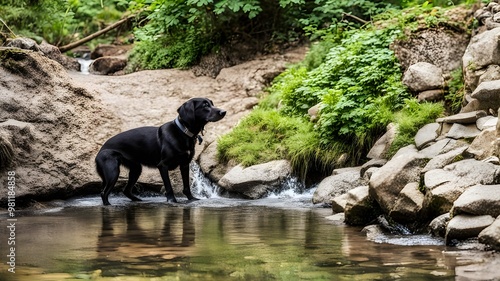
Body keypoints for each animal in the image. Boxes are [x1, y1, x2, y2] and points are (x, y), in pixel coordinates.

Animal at [94, 97, 227, 205]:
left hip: (136, 169)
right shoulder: (163, 166)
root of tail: (101, 150)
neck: (183, 131)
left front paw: (192, 199)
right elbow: (169, 187)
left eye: (211, 103)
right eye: (205, 105)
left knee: (125, 190)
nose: (224, 112)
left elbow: (186, 186)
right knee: (104, 193)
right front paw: (172, 200)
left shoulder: (184, 165)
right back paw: (108, 205)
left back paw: (137, 200)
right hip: (113, 172)